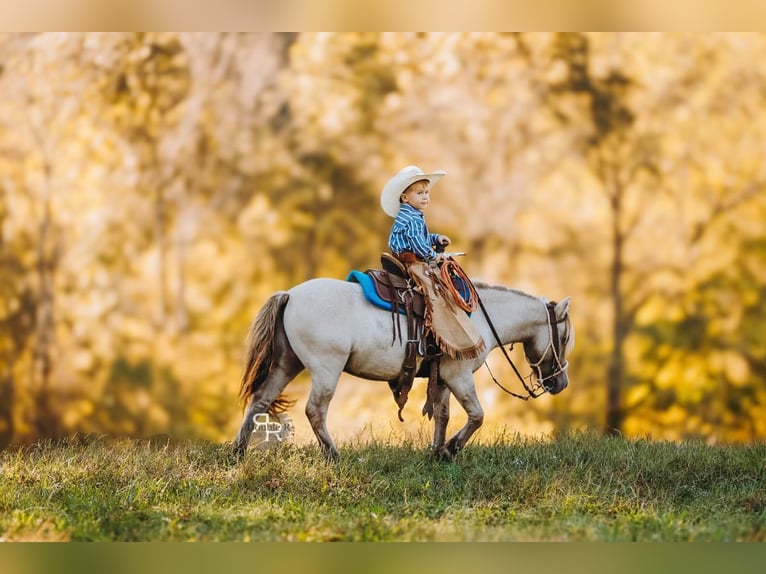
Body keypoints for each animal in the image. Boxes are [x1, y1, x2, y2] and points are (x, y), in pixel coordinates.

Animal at [233, 276, 574, 461]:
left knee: (260, 401)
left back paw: (238, 451)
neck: (476, 318)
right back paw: (333, 455)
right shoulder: (460, 376)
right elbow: (477, 416)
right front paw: (452, 448)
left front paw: (438, 452)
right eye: (565, 337)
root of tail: (290, 295)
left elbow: (442, 415)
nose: (561, 384)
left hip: (286, 363)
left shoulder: (443, 378)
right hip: (326, 369)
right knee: (315, 410)